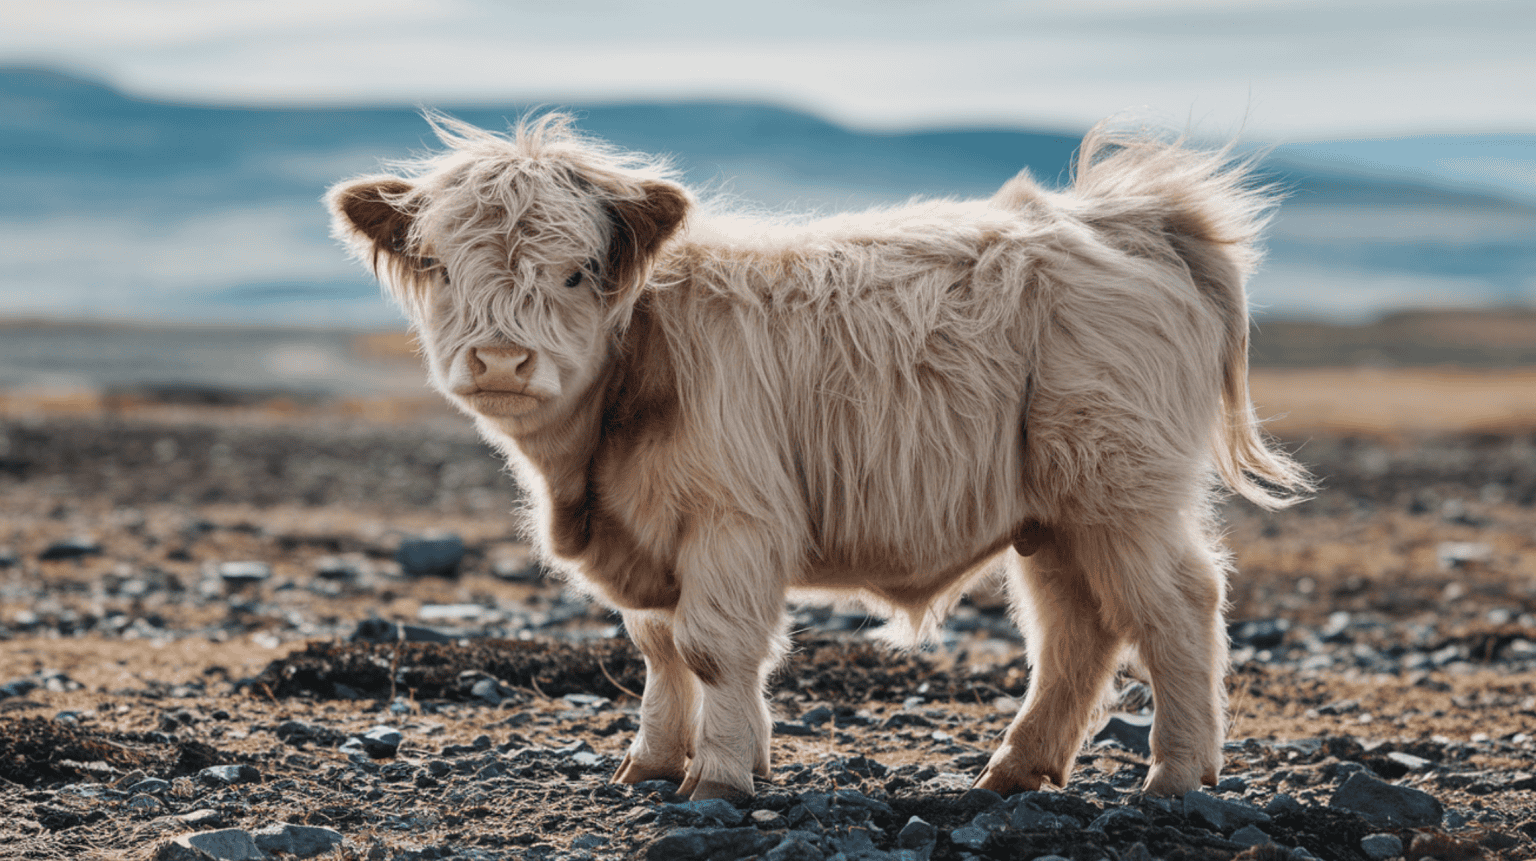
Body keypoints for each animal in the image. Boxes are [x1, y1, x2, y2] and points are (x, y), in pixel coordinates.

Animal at [324, 114, 1308, 798]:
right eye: (439, 266)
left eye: (574, 272)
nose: (500, 360)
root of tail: (1124, 216)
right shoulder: (651, 540)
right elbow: (658, 649)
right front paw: (651, 763)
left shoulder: (734, 520)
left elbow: (712, 647)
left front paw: (718, 777)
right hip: (1056, 513)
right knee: (1077, 628)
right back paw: (1013, 770)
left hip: (1122, 489)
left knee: (1177, 607)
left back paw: (1176, 776)